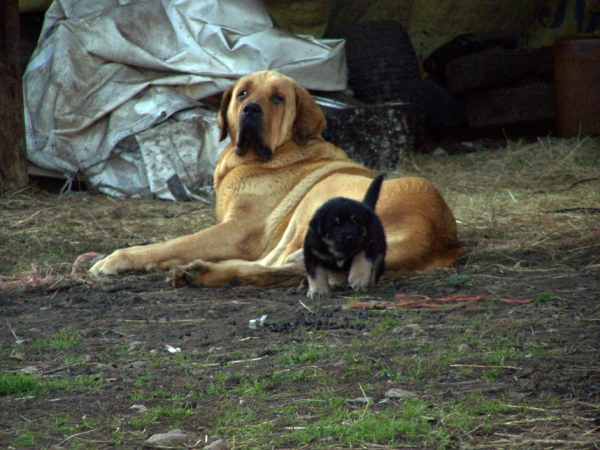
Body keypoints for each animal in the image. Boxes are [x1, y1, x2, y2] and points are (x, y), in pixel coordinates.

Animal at [91, 71, 462, 288]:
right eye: (242, 94)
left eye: (278, 98)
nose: (251, 109)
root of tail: (430, 233)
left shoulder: (239, 231)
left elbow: (172, 244)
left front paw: (119, 259)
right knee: (272, 267)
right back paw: (200, 272)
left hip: (315, 203)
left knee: (277, 264)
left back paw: (201, 271)